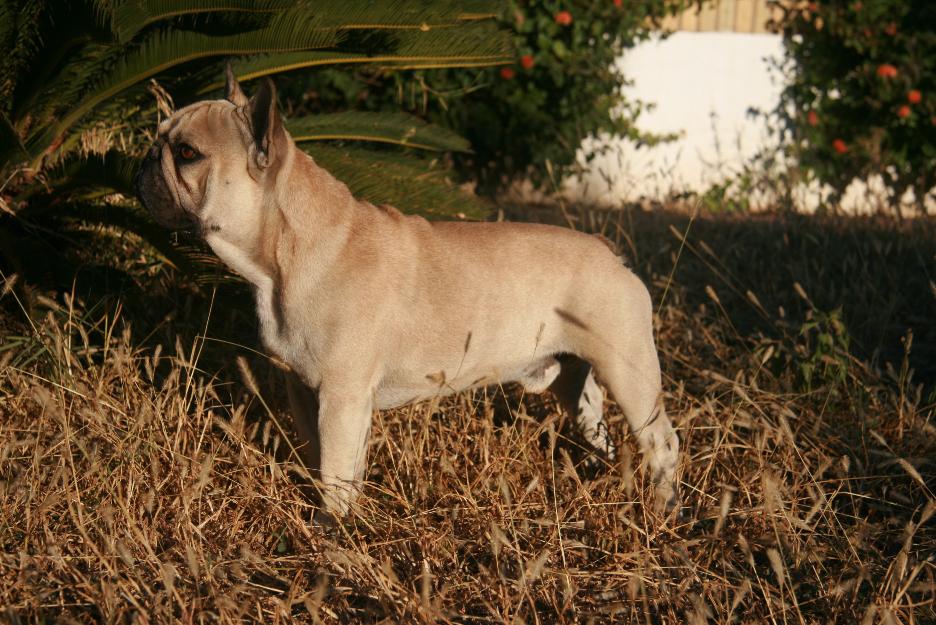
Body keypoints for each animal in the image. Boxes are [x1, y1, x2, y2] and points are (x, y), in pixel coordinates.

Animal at [135, 66, 680, 520]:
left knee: (661, 443)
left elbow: (336, 476)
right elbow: (325, 463)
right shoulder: (306, 393)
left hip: (629, 371)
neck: (284, 252)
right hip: (575, 379)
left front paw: (332, 531)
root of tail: (609, 252)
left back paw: (663, 511)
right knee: (599, 430)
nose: (144, 160)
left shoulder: (342, 397)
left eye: (187, 154)